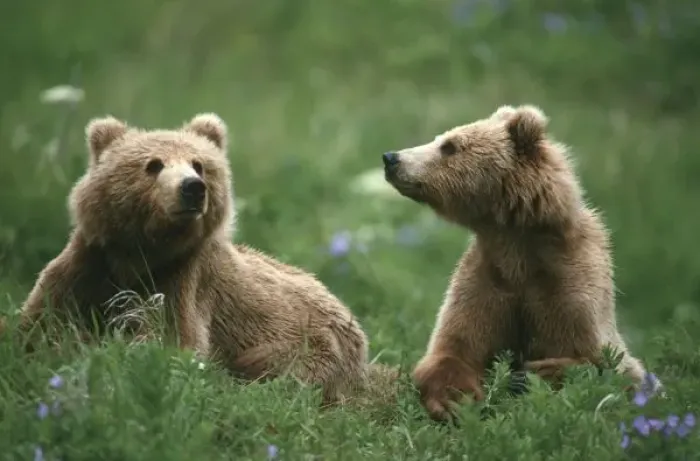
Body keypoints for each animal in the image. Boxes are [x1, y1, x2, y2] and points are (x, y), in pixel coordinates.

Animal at [12, 113, 371, 405]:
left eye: (199, 164)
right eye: (153, 164)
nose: (192, 188)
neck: (139, 254)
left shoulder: (181, 283)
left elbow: (169, 343)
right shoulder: (87, 268)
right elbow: (40, 322)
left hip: (309, 345)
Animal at [381, 104, 655, 422]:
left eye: (449, 146)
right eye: (442, 139)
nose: (391, 158)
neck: (517, 247)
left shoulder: (570, 288)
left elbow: (606, 363)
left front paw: (534, 372)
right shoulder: (487, 280)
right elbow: (454, 348)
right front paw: (454, 401)